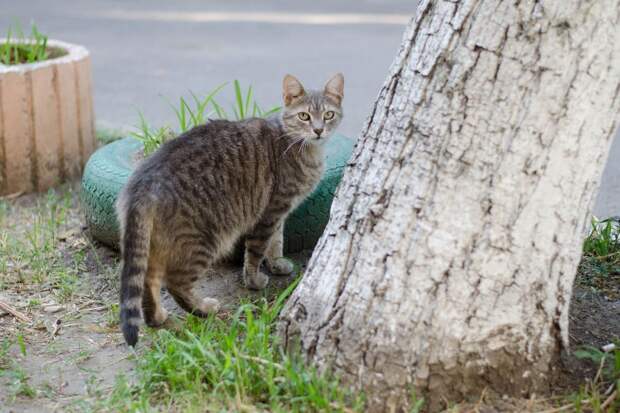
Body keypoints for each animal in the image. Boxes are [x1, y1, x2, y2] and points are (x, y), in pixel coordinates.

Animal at [116, 73, 344, 344]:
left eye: (328, 114)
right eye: (304, 116)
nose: (318, 130)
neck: (299, 146)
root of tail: (143, 182)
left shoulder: (278, 213)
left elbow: (276, 241)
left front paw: (277, 264)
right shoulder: (271, 211)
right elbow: (257, 250)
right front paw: (254, 280)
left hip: (158, 242)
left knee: (149, 278)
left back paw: (157, 316)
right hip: (204, 240)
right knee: (175, 283)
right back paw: (203, 309)